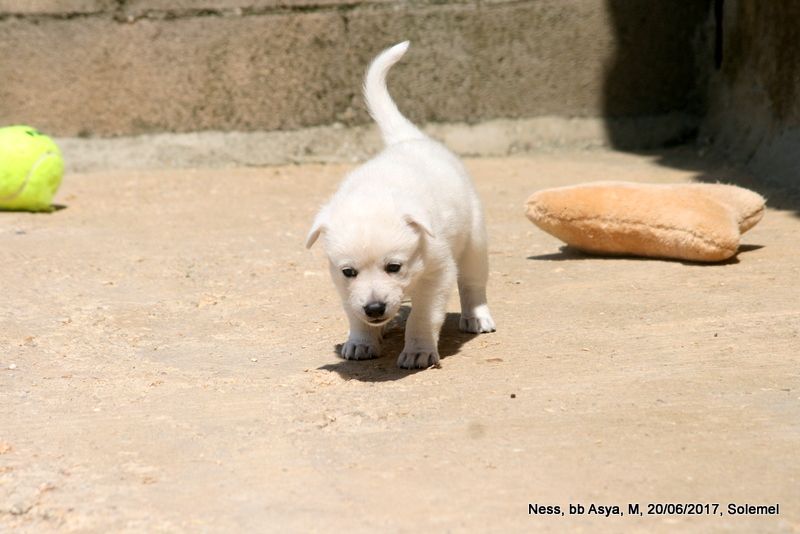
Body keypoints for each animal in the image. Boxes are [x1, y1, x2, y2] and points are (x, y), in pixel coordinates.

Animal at [306, 42, 494, 370]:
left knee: (473, 283)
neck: (373, 194)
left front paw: (418, 351)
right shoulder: (343, 285)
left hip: (474, 242)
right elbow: (354, 314)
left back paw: (477, 316)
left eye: (394, 267)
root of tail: (408, 139)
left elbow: (422, 316)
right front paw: (361, 341)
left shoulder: (438, 273)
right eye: (349, 271)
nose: (375, 308)